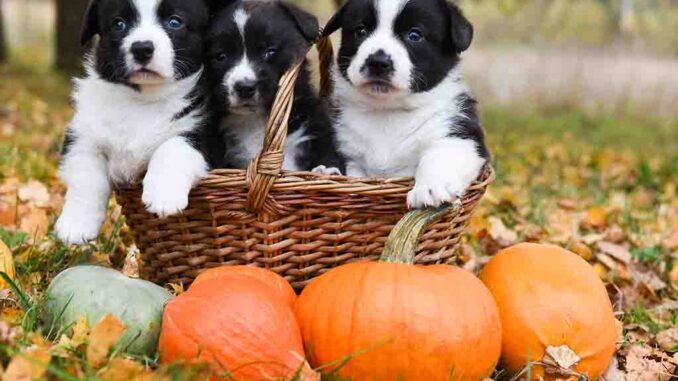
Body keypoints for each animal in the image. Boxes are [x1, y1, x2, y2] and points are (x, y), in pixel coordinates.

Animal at [57, 0, 214, 243]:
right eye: (118, 23)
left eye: (175, 22)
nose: (142, 48)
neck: (142, 100)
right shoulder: (82, 135)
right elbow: (87, 177)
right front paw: (76, 224)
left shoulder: (203, 132)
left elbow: (172, 147)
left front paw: (163, 194)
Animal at [206, 0, 346, 172]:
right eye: (221, 56)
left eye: (270, 51)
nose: (244, 87)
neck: (255, 120)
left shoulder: (318, 128)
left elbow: (329, 154)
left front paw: (325, 169)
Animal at [326, 0, 492, 208]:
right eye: (361, 31)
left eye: (414, 35)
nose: (378, 62)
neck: (387, 111)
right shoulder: (346, 151)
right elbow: (351, 173)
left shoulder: (462, 134)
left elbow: (439, 155)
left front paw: (430, 189)